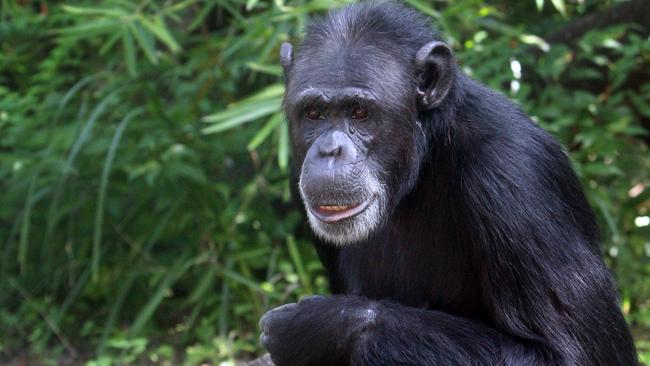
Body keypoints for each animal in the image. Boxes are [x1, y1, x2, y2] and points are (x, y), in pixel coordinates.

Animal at [256, 3, 636, 366]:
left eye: (360, 112)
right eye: (313, 114)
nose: (329, 150)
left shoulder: (518, 178)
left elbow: (569, 354)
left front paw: (317, 327)